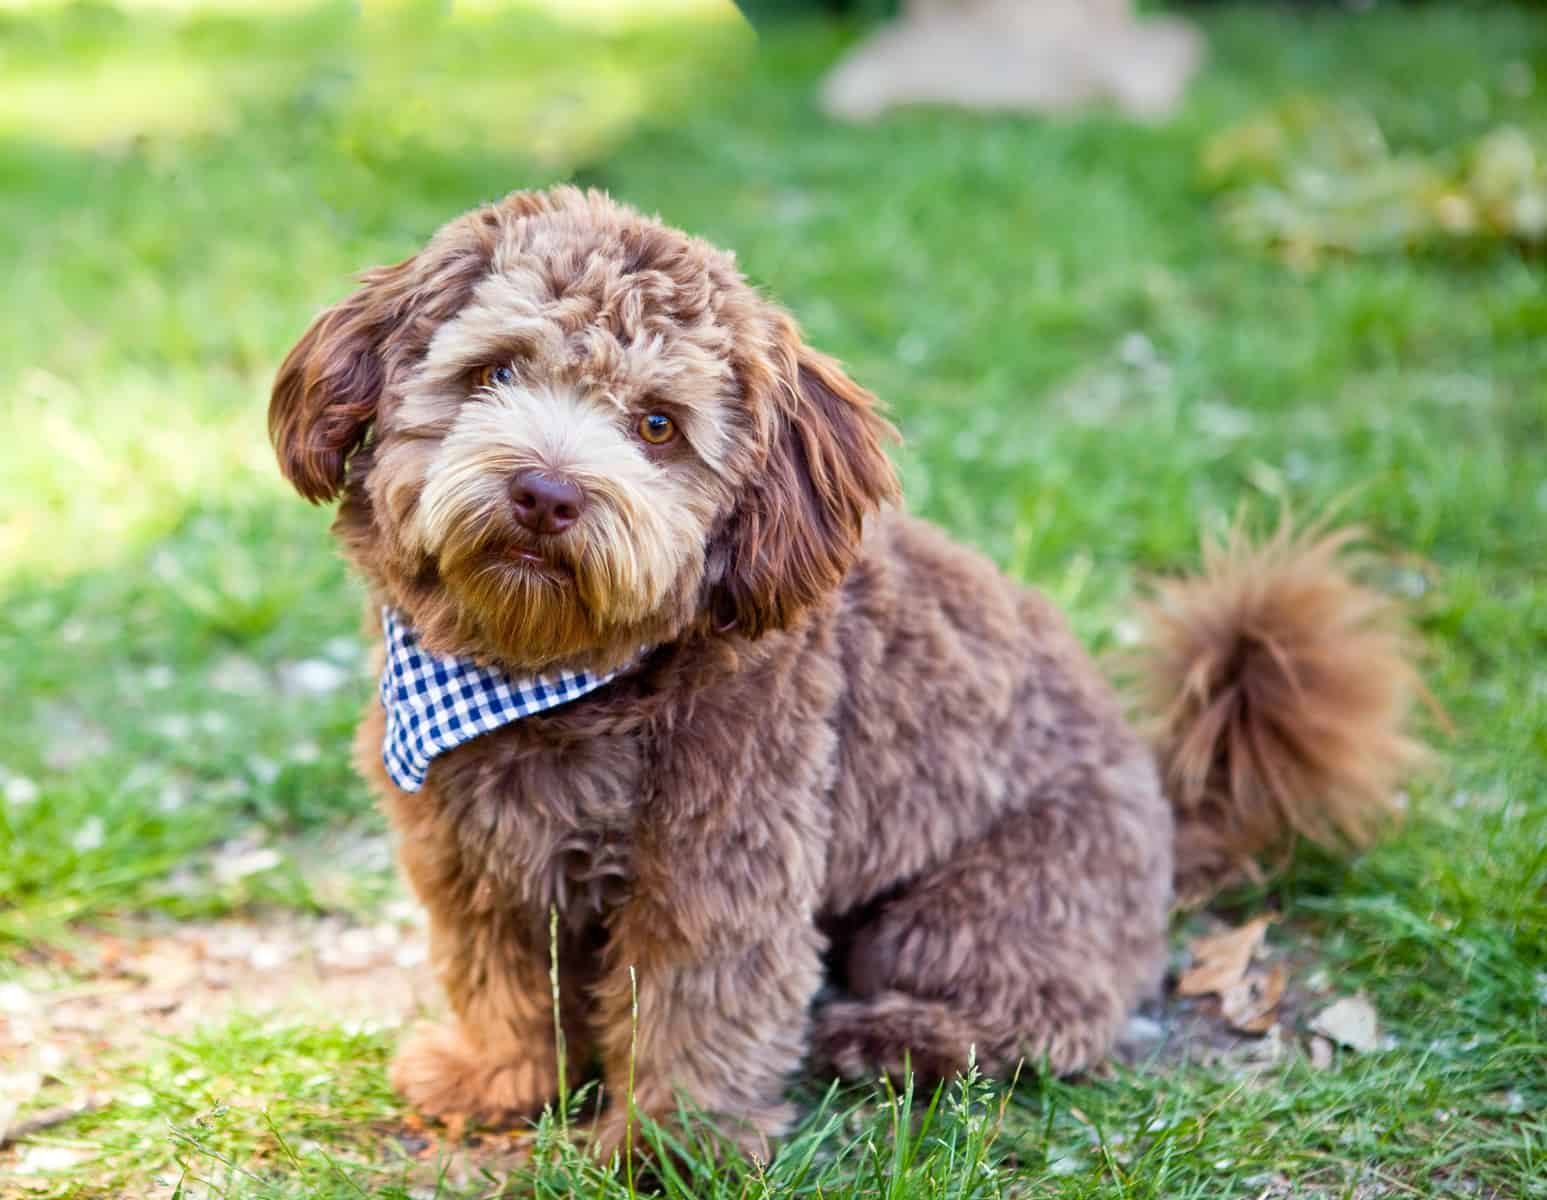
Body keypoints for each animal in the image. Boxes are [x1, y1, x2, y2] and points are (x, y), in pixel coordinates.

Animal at [269, 190, 1423, 1162]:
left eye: (656, 424)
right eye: (496, 371)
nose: (546, 493)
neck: (547, 674)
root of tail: (1173, 822)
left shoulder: (725, 860)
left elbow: (699, 999)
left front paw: (668, 1149)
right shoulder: (472, 854)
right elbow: (501, 978)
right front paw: (495, 1080)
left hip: (983, 903)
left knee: (1053, 1018)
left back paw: (889, 1042)